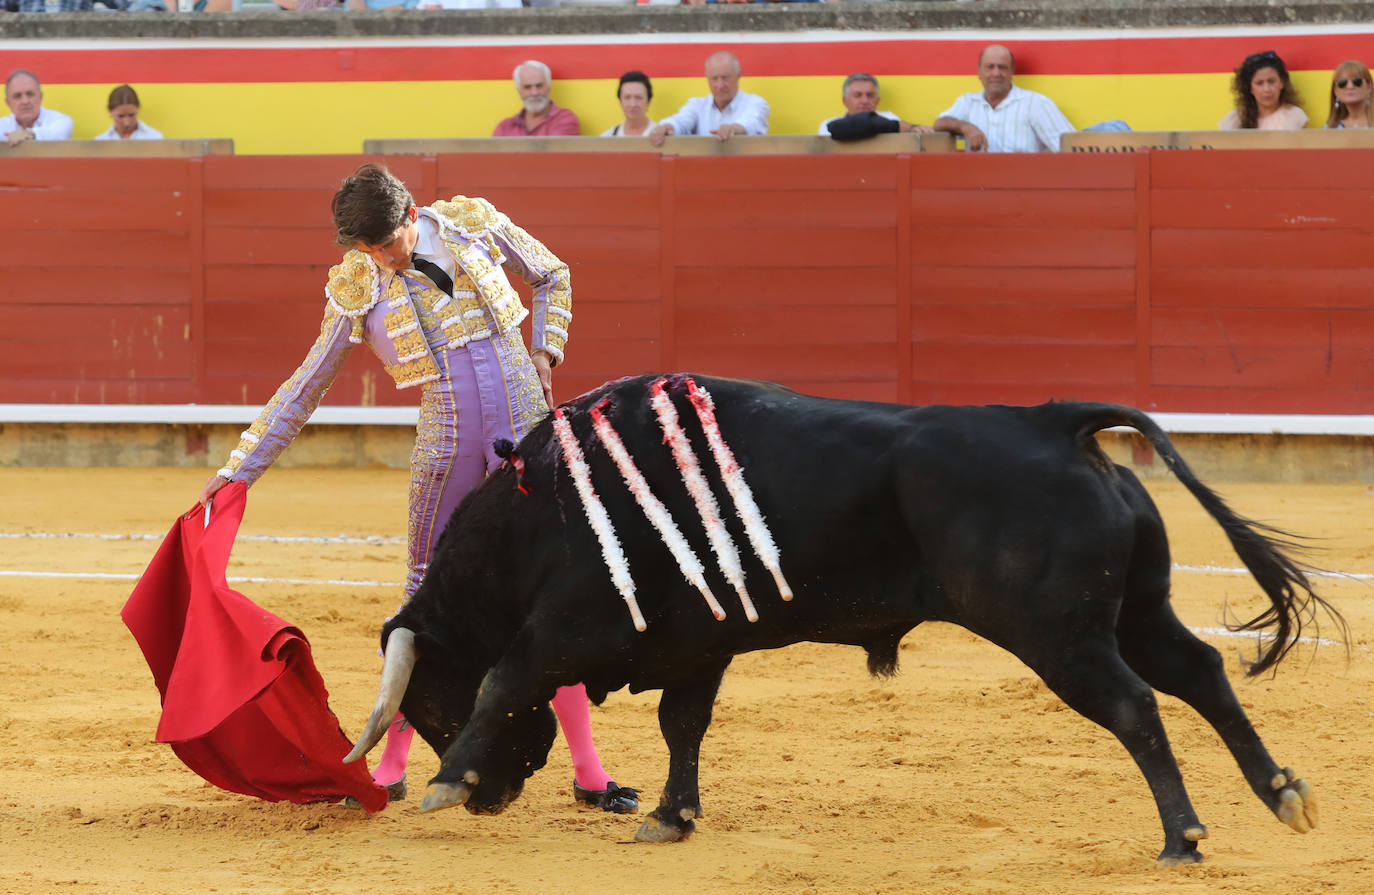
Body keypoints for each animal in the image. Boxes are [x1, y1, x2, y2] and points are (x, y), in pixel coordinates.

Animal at [343, 371, 1341, 863]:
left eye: (429, 703)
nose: (494, 798)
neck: (537, 512)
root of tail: (1048, 421)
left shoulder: (572, 622)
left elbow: (510, 675)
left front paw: (443, 783)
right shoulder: (699, 641)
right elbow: (682, 722)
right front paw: (671, 815)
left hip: (1059, 636)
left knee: (1136, 705)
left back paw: (1182, 838)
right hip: (1134, 611)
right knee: (1201, 672)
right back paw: (1283, 793)